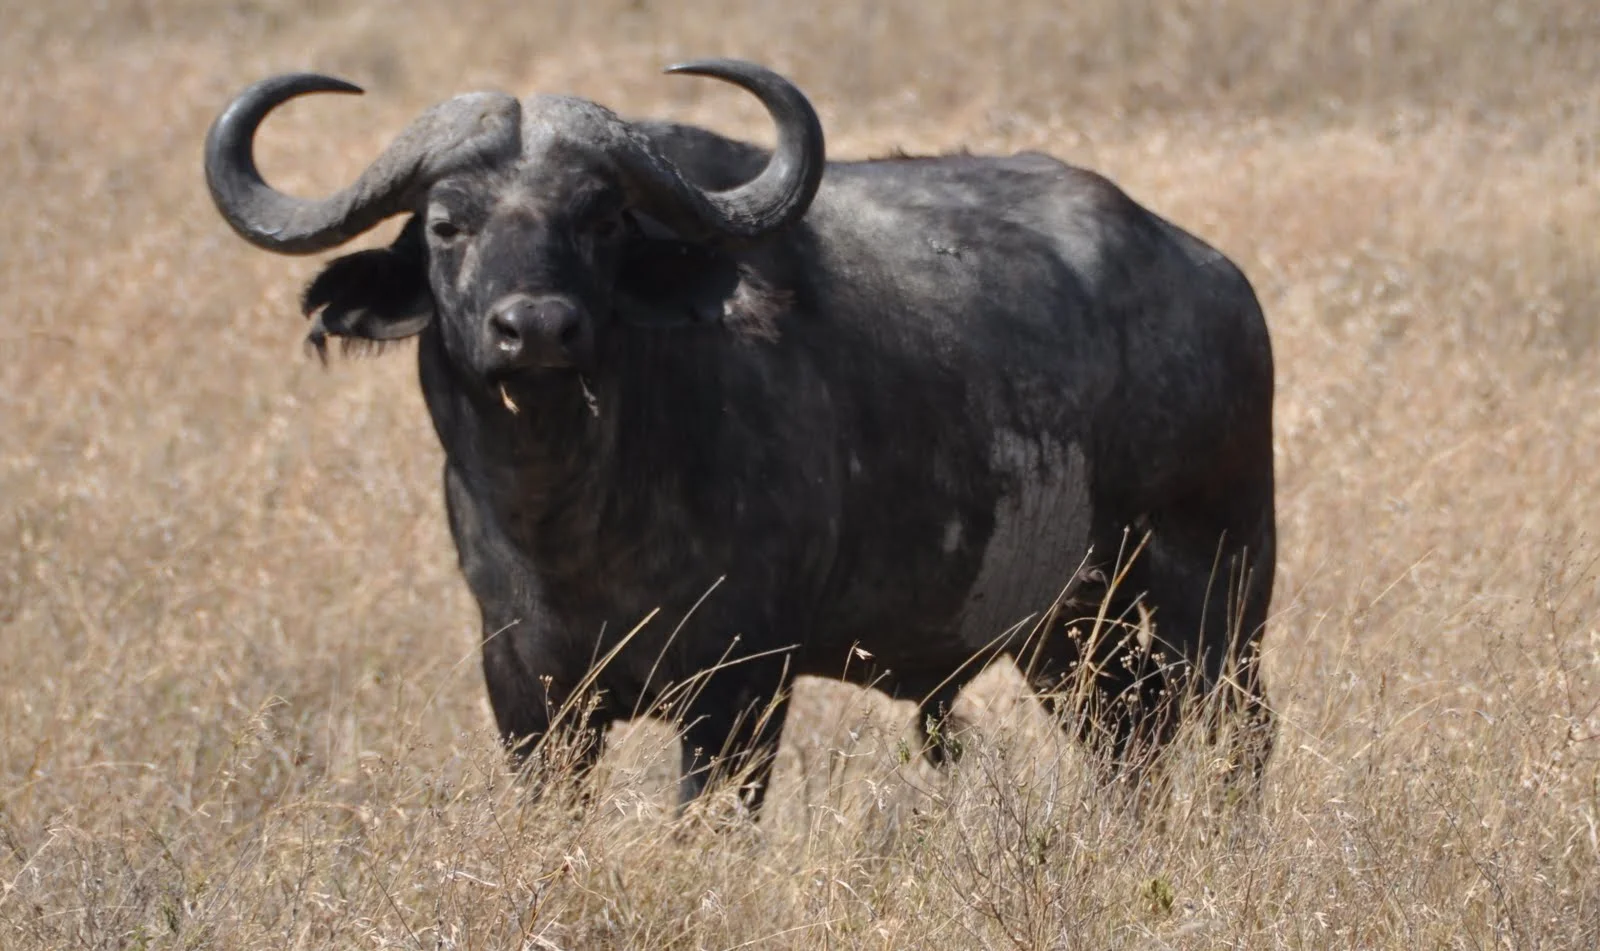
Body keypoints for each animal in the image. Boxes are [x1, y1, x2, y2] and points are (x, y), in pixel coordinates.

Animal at [203, 59, 1277, 816]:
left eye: (601, 218)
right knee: (1130, 749)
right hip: (1075, 640)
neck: (572, 515)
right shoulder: (528, 693)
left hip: (1216, 602)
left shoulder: (741, 689)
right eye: (444, 224)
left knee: (1242, 739)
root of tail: (1214, 277)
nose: (536, 328)